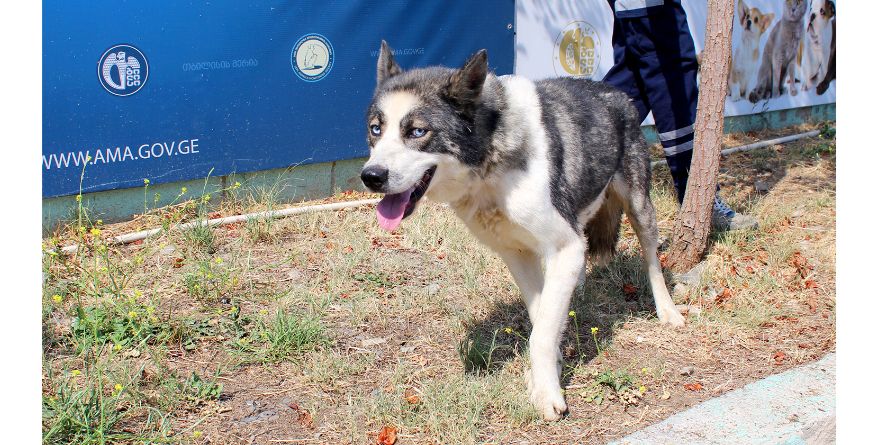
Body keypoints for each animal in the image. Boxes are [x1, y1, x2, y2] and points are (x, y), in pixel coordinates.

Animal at [360, 41, 688, 420]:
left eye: (417, 132)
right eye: (376, 129)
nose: (371, 177)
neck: (490, 157)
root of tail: (615, 92)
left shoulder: (561, 246)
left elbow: (541, 332)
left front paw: (547, 392)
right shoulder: (518, 253)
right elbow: (542, 313)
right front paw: (551, 367)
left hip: (639, 206)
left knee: (652, 259)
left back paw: (667, 311)